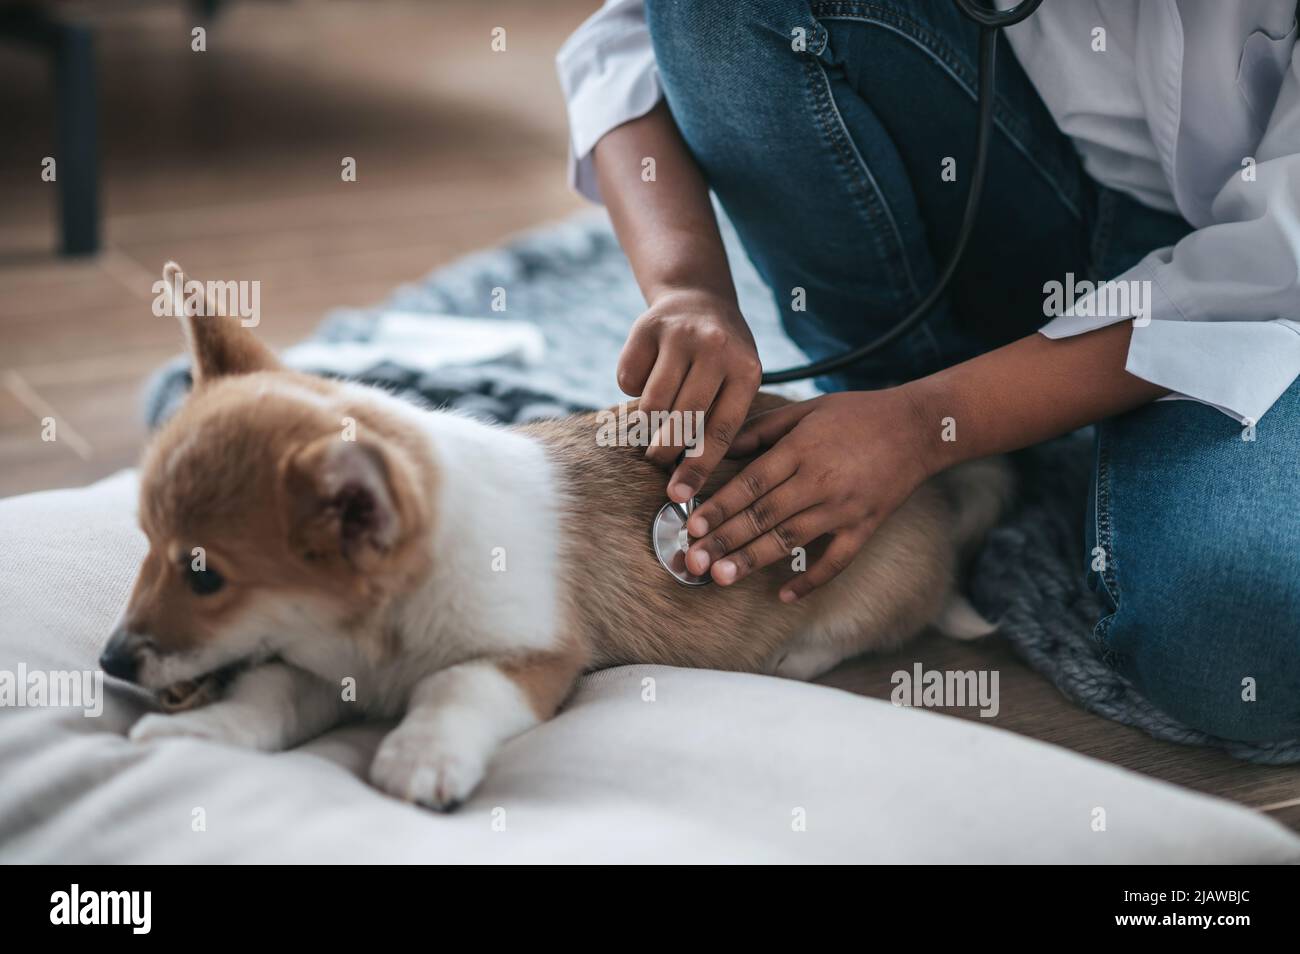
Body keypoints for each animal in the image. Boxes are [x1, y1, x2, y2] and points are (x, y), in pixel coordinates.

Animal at [104, 265, 1013, 811]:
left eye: (204, 576)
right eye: (145, 544)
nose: (110, 662)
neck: (380, 627)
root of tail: (933, 494)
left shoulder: (532, 658)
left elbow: (455, 687)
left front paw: (419, 757)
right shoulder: (315, 667)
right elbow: (267, 697)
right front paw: (201, 733)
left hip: (858, 585)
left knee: (859, 629)